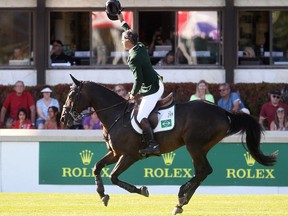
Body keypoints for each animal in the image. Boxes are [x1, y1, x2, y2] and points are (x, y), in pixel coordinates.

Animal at [60, 74, 276, 214]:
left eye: (71, 96)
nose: (63, 119)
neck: (116, 115)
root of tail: (223, 112)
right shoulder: (115, 153)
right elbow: (96, 167)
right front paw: (102, 194)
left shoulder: (130, 155)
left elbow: (114, 176)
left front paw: (141, 190)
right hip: (199, 148)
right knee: (202, 172)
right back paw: (181, 201)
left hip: (194, 146)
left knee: (204, 170)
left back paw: (181, 196)